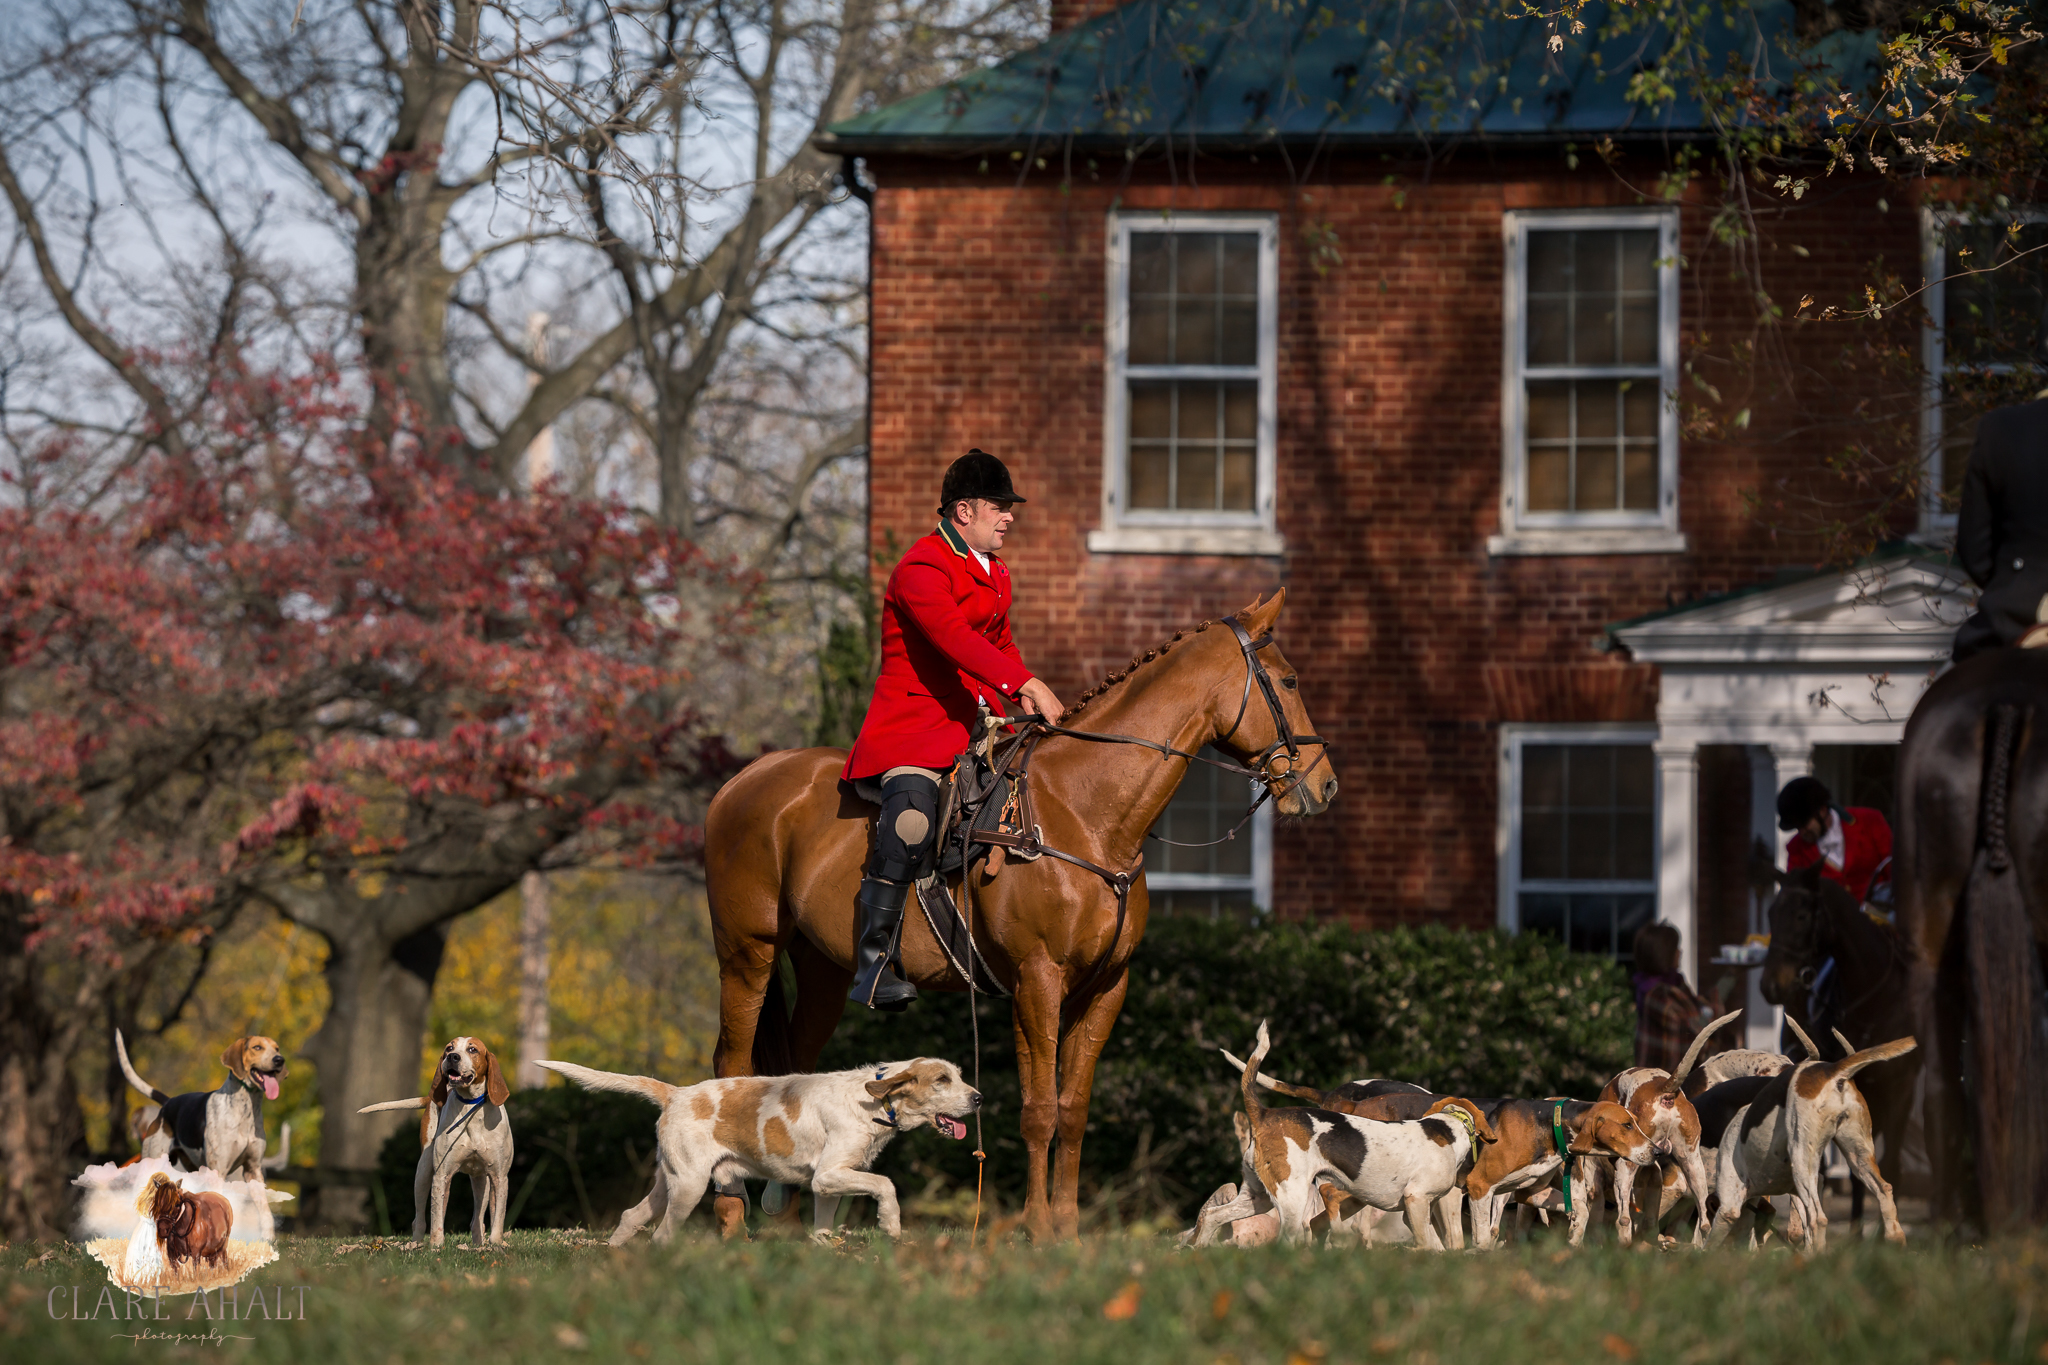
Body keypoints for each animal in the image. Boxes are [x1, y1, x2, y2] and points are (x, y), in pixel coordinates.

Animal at [708, 589, 1343, 1236]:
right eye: (1290, 680)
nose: (1325, 786)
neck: (1085, 813)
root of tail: (746, 777)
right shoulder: (1037, 980)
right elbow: (1039, 1109)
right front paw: (1037, 1228)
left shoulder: (1105, 987)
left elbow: (1073, 1106)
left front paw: (1066, 1227)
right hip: (748, 954)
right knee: (730, 1061)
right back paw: (733, 1212)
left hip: (823, 973)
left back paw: (789, 1219)